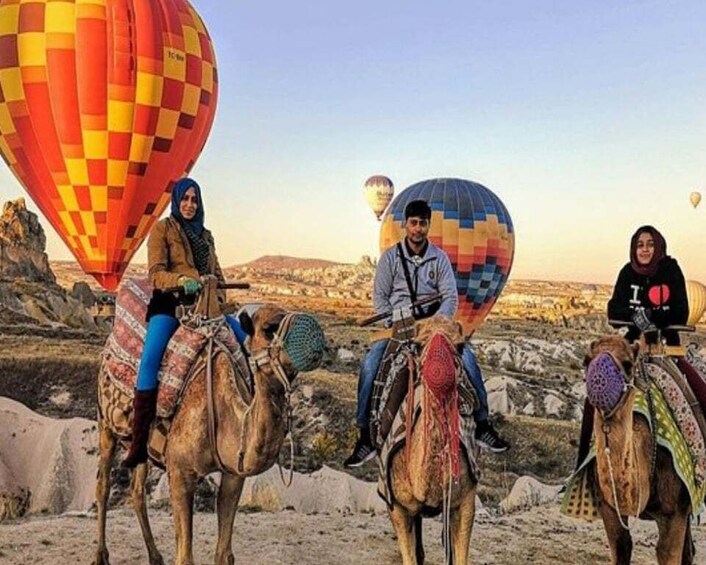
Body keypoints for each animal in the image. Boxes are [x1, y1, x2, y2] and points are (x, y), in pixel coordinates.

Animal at [91, 302, 324, 564]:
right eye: (268, 328)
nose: (314, 337)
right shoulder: (180, 471)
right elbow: (185, 557)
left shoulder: (234, 474)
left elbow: (224, 554)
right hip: (105, 424)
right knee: (103, 485)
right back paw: (101, 555)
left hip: (141, 446)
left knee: (137, 489)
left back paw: (155, 556)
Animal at [382, 320, 476, 564]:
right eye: (417, 344)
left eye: (461, 345)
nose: (438, 369)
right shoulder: (397, 506)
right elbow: (409, 556)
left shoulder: (466, 500)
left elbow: (460, 556)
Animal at [584, 334, 692, 564]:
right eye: (586, 361)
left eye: (627, 364)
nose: (598, 380)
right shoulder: (609, 508)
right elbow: (622, 547)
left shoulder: (674, 512)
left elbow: (667, 553)